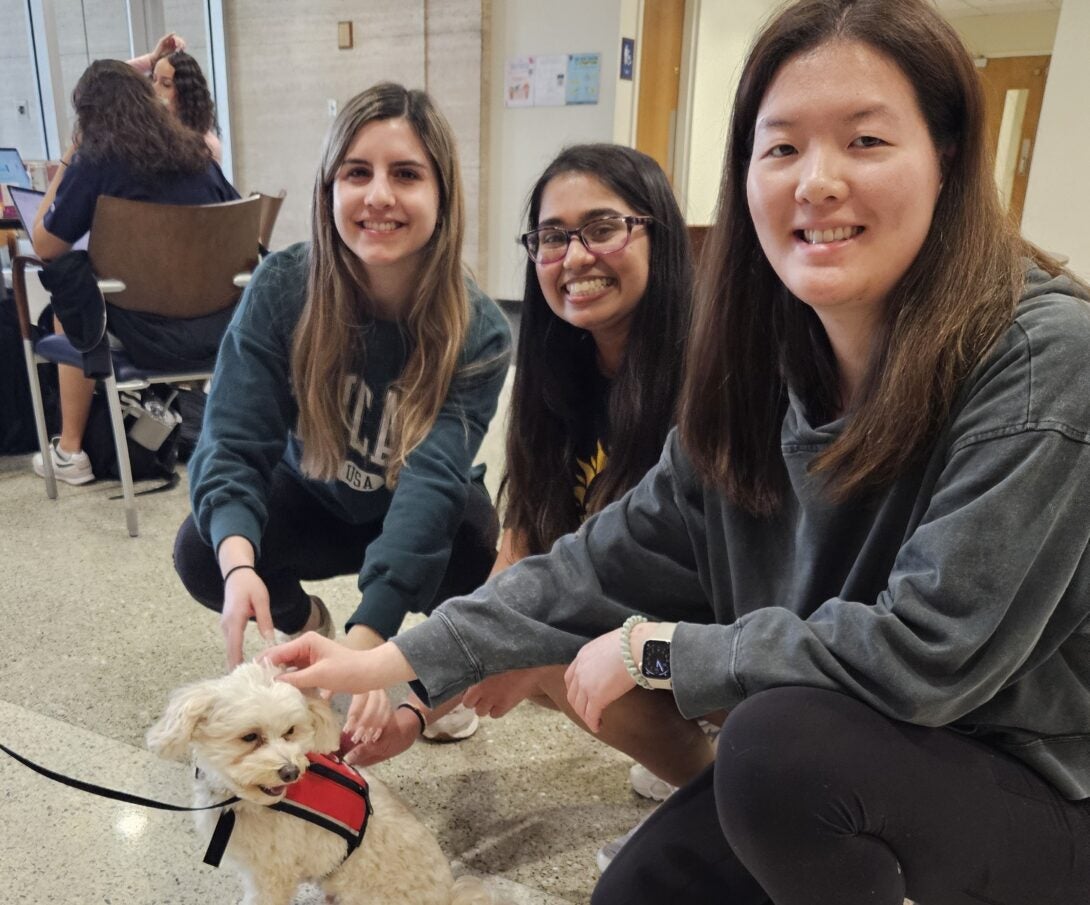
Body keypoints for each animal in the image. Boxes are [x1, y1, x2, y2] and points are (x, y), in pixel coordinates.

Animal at [148, 658, 490, 905]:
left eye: (290, 731)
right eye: (250, 737)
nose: (290, 772)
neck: (244, 802)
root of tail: (448, 897)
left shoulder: (271, 878)